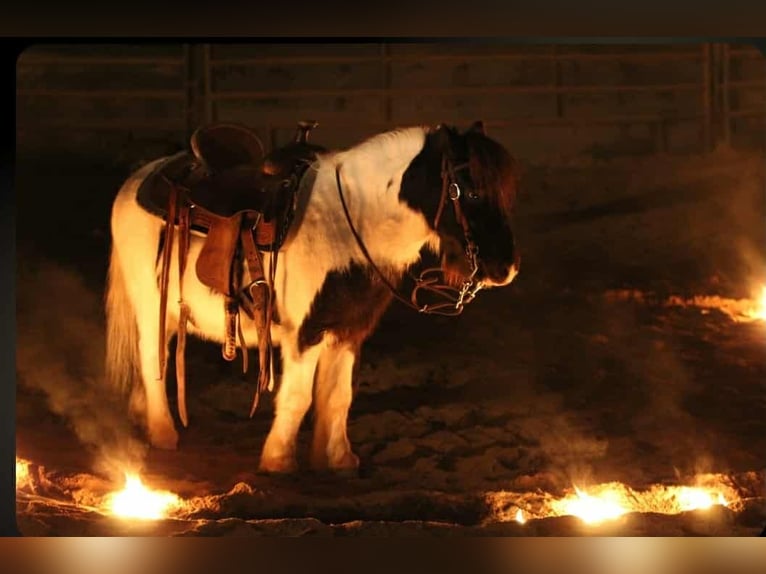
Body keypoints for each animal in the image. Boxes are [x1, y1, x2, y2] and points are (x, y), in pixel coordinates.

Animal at [104, 121, 521, 474]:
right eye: (470, 192)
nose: (507, 269)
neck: (350, 224)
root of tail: (139, 177)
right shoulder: (305, 333)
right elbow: (299, 397)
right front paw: (278, 460)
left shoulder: (347, 332)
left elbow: (338, 397)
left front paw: (337, 459)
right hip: (150, 306)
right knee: (151, 359)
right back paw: (163, 432)